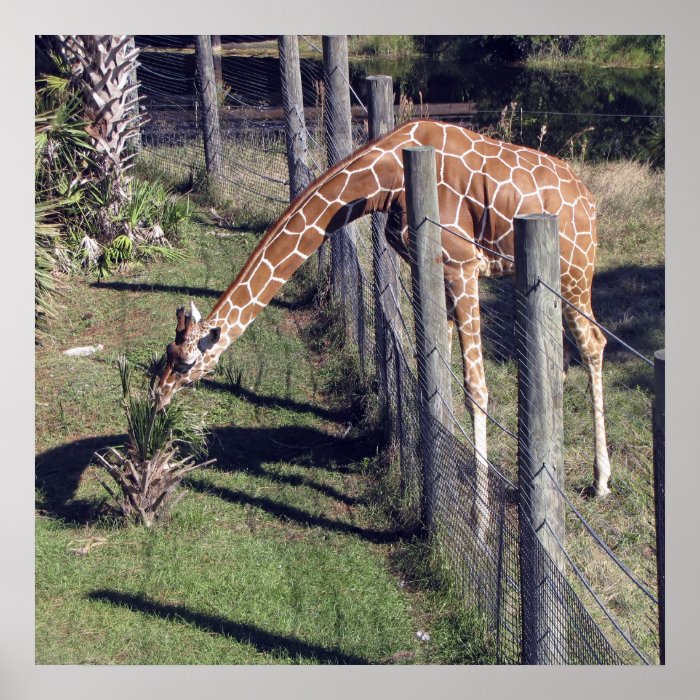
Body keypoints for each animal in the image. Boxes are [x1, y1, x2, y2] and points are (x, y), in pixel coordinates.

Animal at [156, 121, 608, 504]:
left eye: (185, 363)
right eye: (167, 354)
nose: (157, 397)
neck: (385, 178)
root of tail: (588, 199)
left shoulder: (462, 265)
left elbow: (475, 388)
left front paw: (479, 521)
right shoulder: (429, 266)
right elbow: (433, 374)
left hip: (575, 269)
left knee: (593, 344)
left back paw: (600, 482)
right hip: (546, 283)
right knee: (560, 360)